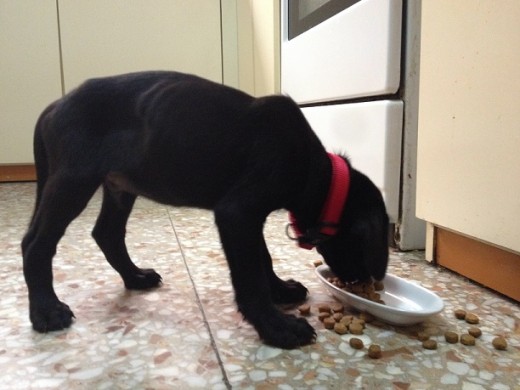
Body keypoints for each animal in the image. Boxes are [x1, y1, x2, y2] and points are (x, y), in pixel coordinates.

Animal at [21, 71, 386, 348]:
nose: (361, 281)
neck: (317, 172)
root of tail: (54, 105)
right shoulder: (237, 212)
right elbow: (250, 276)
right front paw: (276, 327)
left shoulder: (247, 218)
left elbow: (262, 257)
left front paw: (280, 290)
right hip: (74, 180)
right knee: (36, 244)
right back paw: (46, 311)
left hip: (119, 187)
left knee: (106, 233)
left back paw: (135, 277)